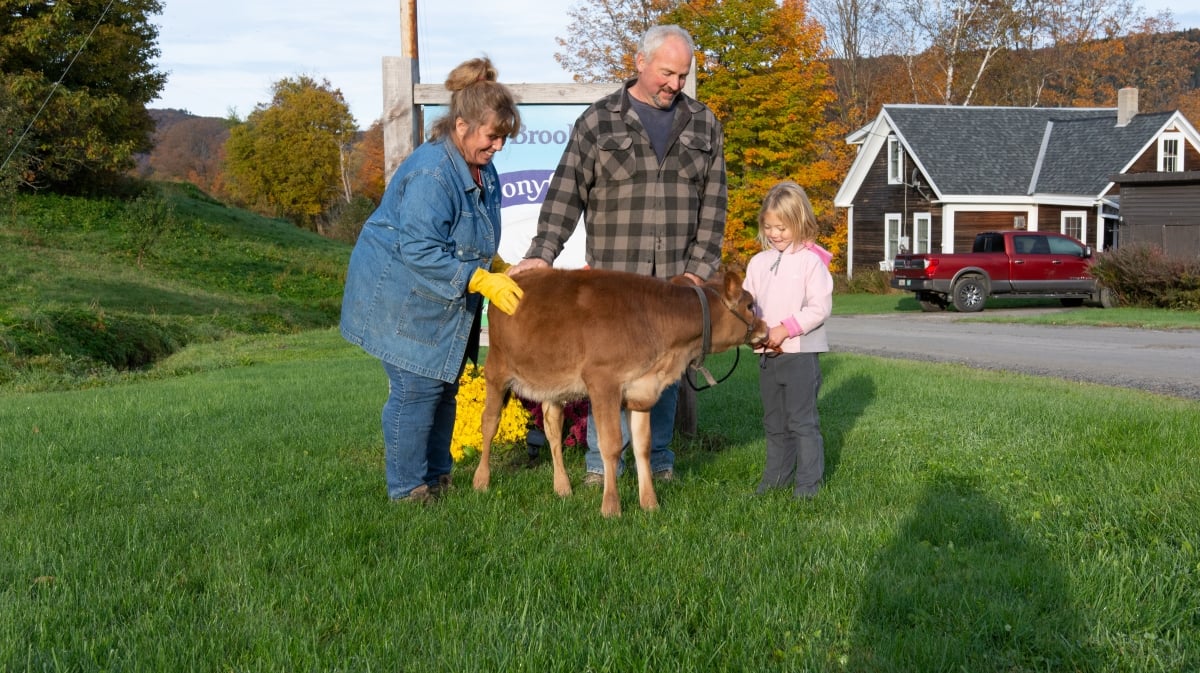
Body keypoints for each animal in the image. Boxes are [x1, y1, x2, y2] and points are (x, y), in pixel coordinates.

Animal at [470, 266, 763, 513]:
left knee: (553, 430)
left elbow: (642, 447)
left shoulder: (641, 391)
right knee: (489, 423)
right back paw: (481, 480)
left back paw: (562, 487)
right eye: (750, 305)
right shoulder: (603, 384)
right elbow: (610, 445)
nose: (765, 328)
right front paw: (611, 507)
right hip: (496, 370)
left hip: (552, 384)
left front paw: (650, 503)